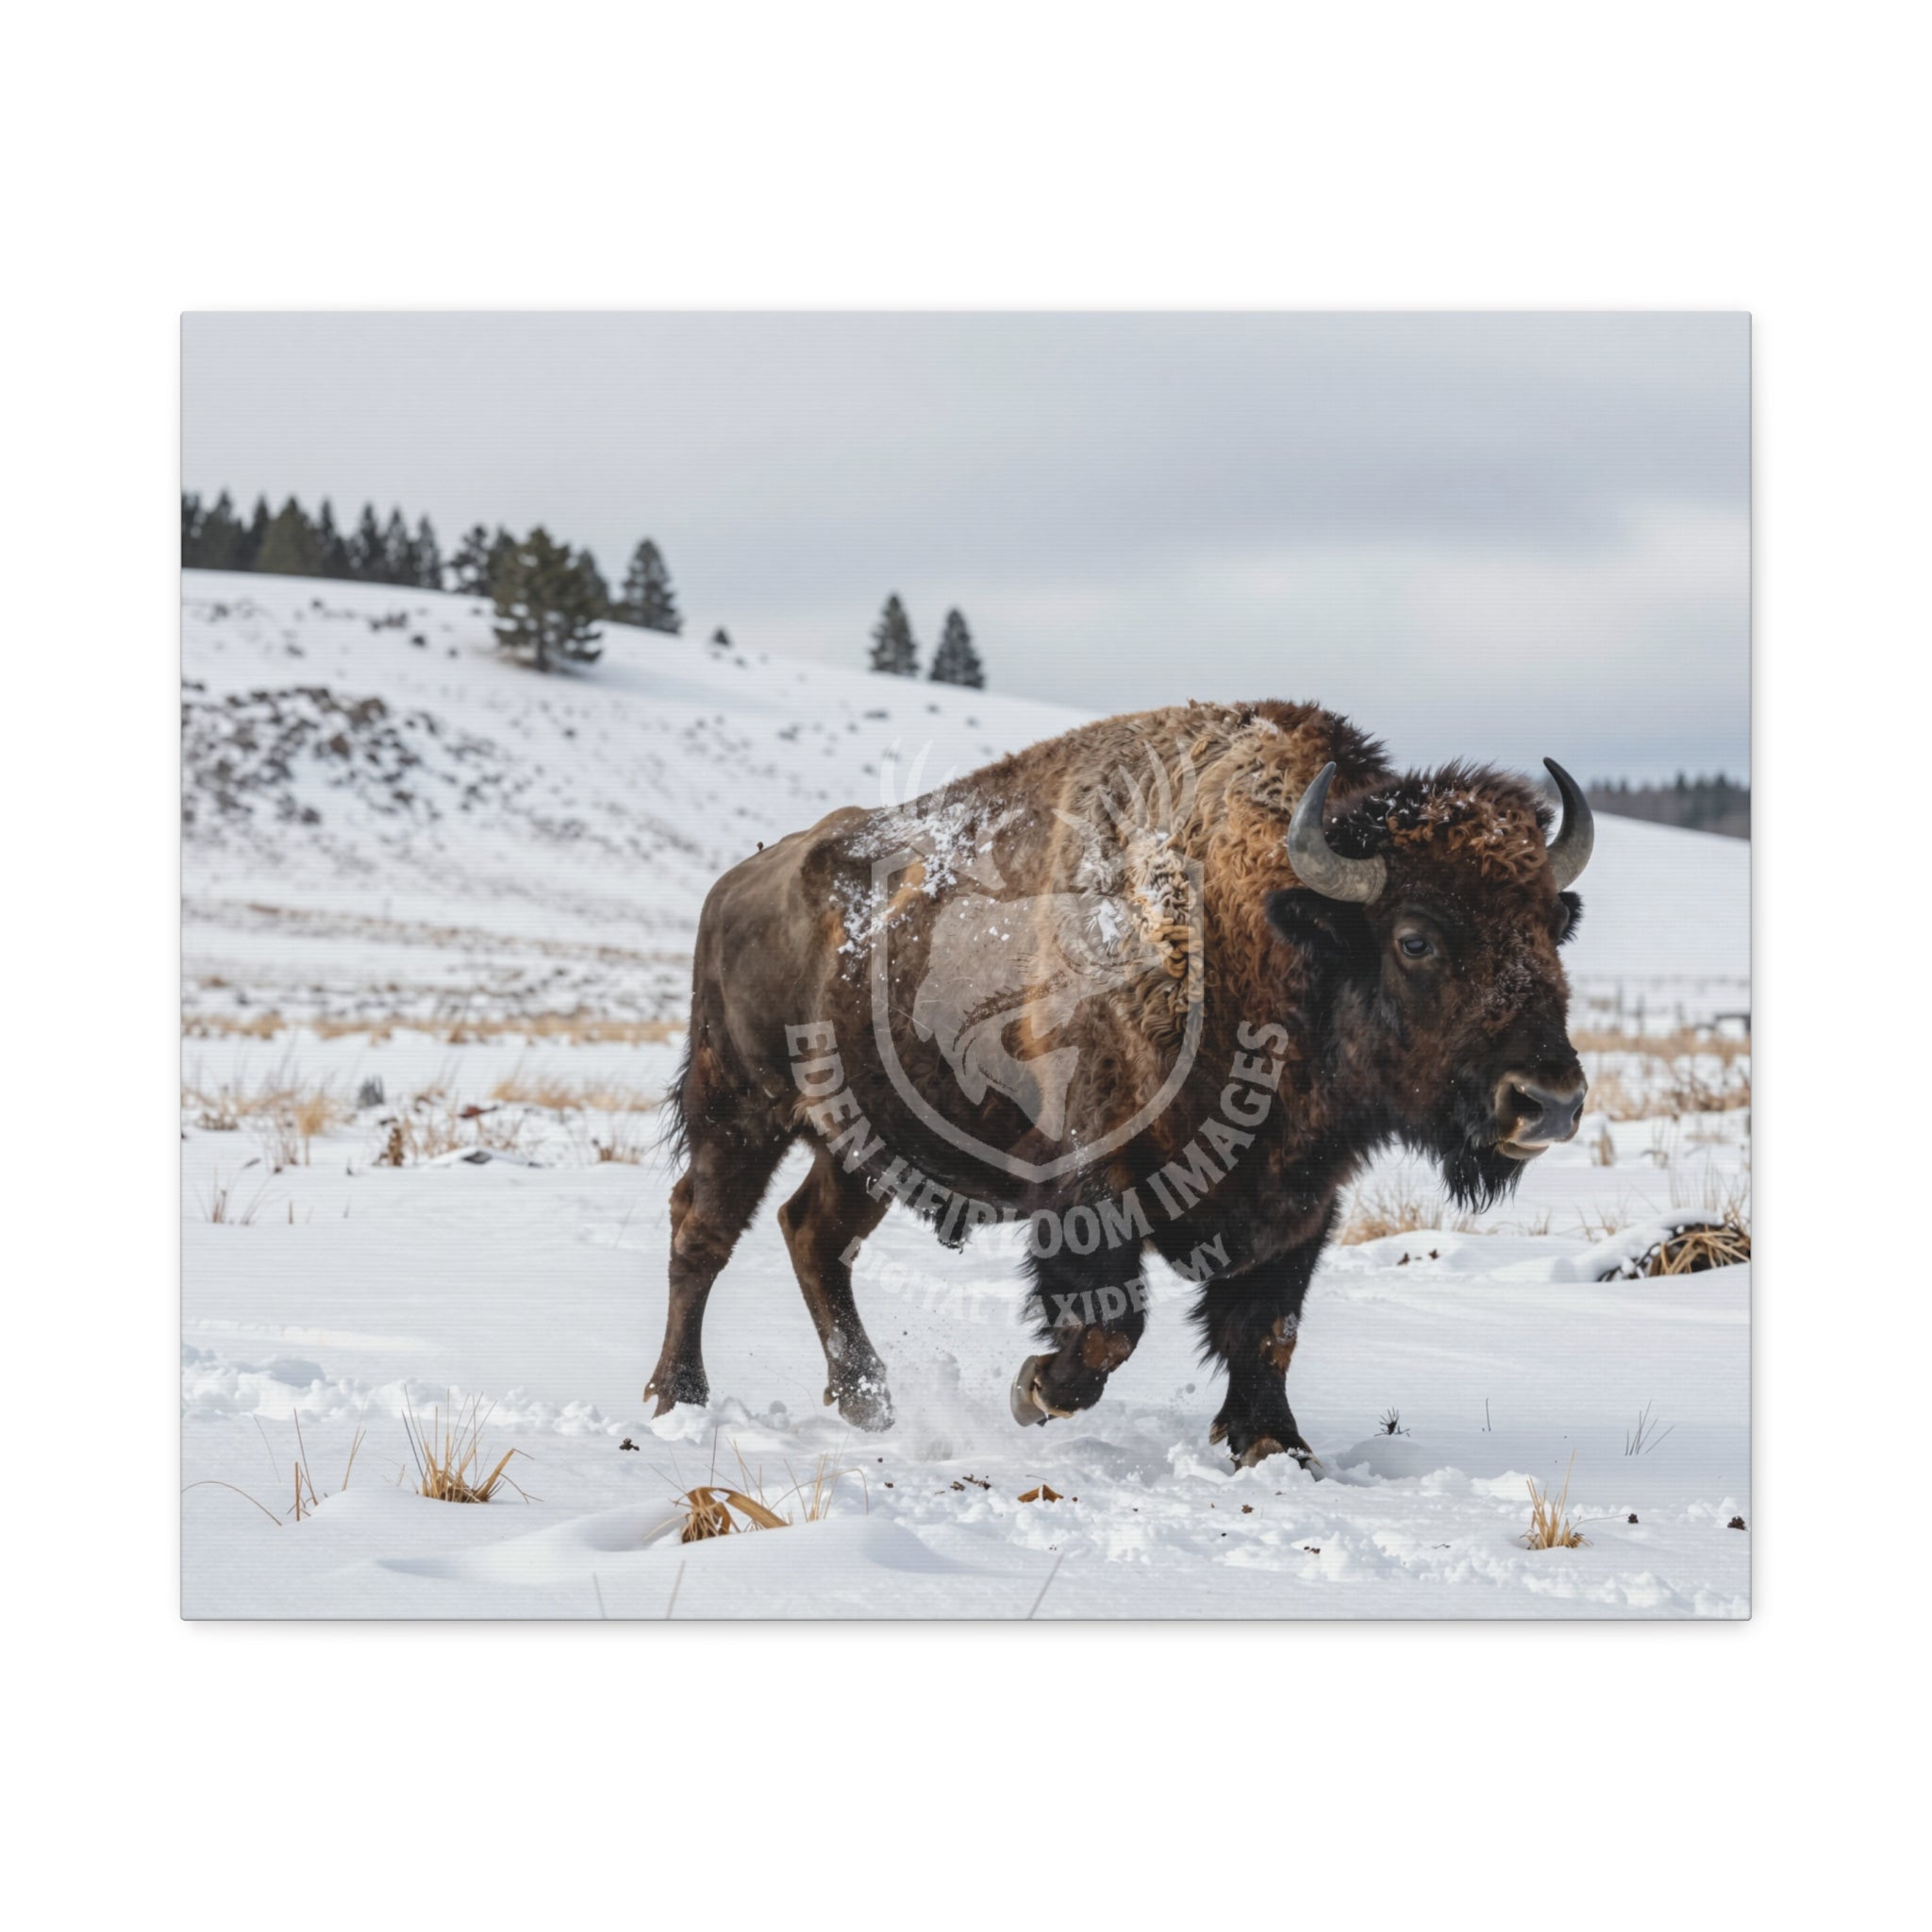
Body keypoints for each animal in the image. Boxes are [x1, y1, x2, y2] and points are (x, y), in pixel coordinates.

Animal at [647, 700, 1592, 1469]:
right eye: (1415, 938)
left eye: (1552, 928)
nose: (1548, 1101)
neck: (1252, 925)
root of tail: (737, 883)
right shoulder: (1089, 1180)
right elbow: (1110, 1327)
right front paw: (1032, 1391)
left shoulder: (1300, 1202)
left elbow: (1268, 1328)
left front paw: (1275, 1447)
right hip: (740, 1110)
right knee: (704, 1229)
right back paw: (676, 1398)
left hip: (862, 1146)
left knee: (814, 1234)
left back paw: (867, 1404)